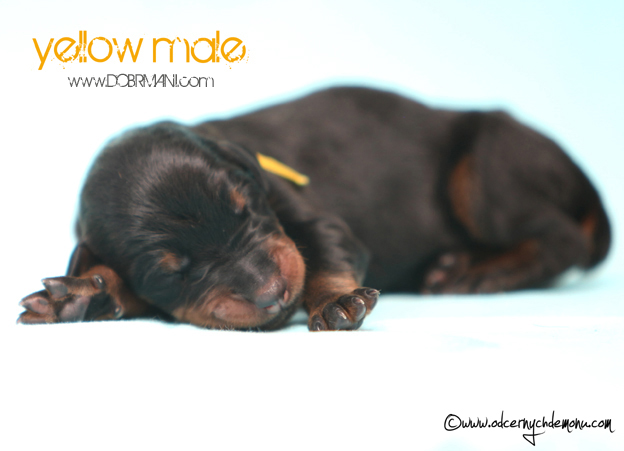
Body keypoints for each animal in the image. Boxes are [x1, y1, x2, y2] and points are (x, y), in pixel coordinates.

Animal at [18, 87, 611, 331]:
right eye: (172, 273)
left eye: (246, 210)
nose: (273, 294)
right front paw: (80, 295)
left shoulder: (313, 218)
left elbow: (321, 253)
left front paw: (336, 301)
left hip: (485, 165)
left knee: (561, 237)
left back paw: (475, 274)